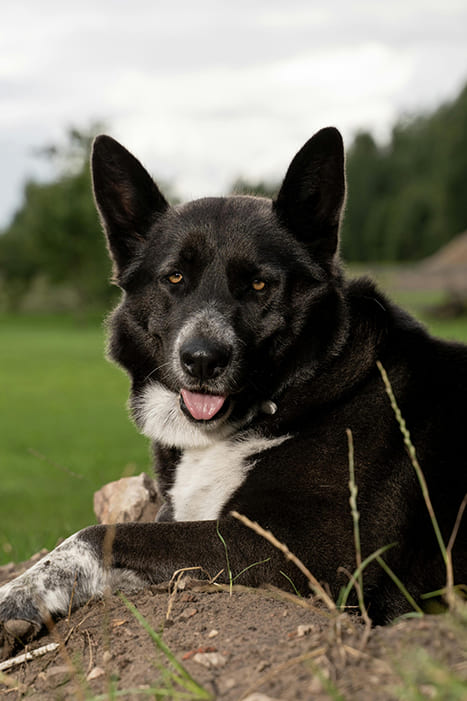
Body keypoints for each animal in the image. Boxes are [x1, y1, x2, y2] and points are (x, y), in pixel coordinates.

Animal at [0, 129, 467, 648]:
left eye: (260, 284)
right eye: (175, 277)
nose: (203, 360)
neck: (279, 399)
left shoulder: (312, 553)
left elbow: (100, 533)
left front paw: (15, 595)